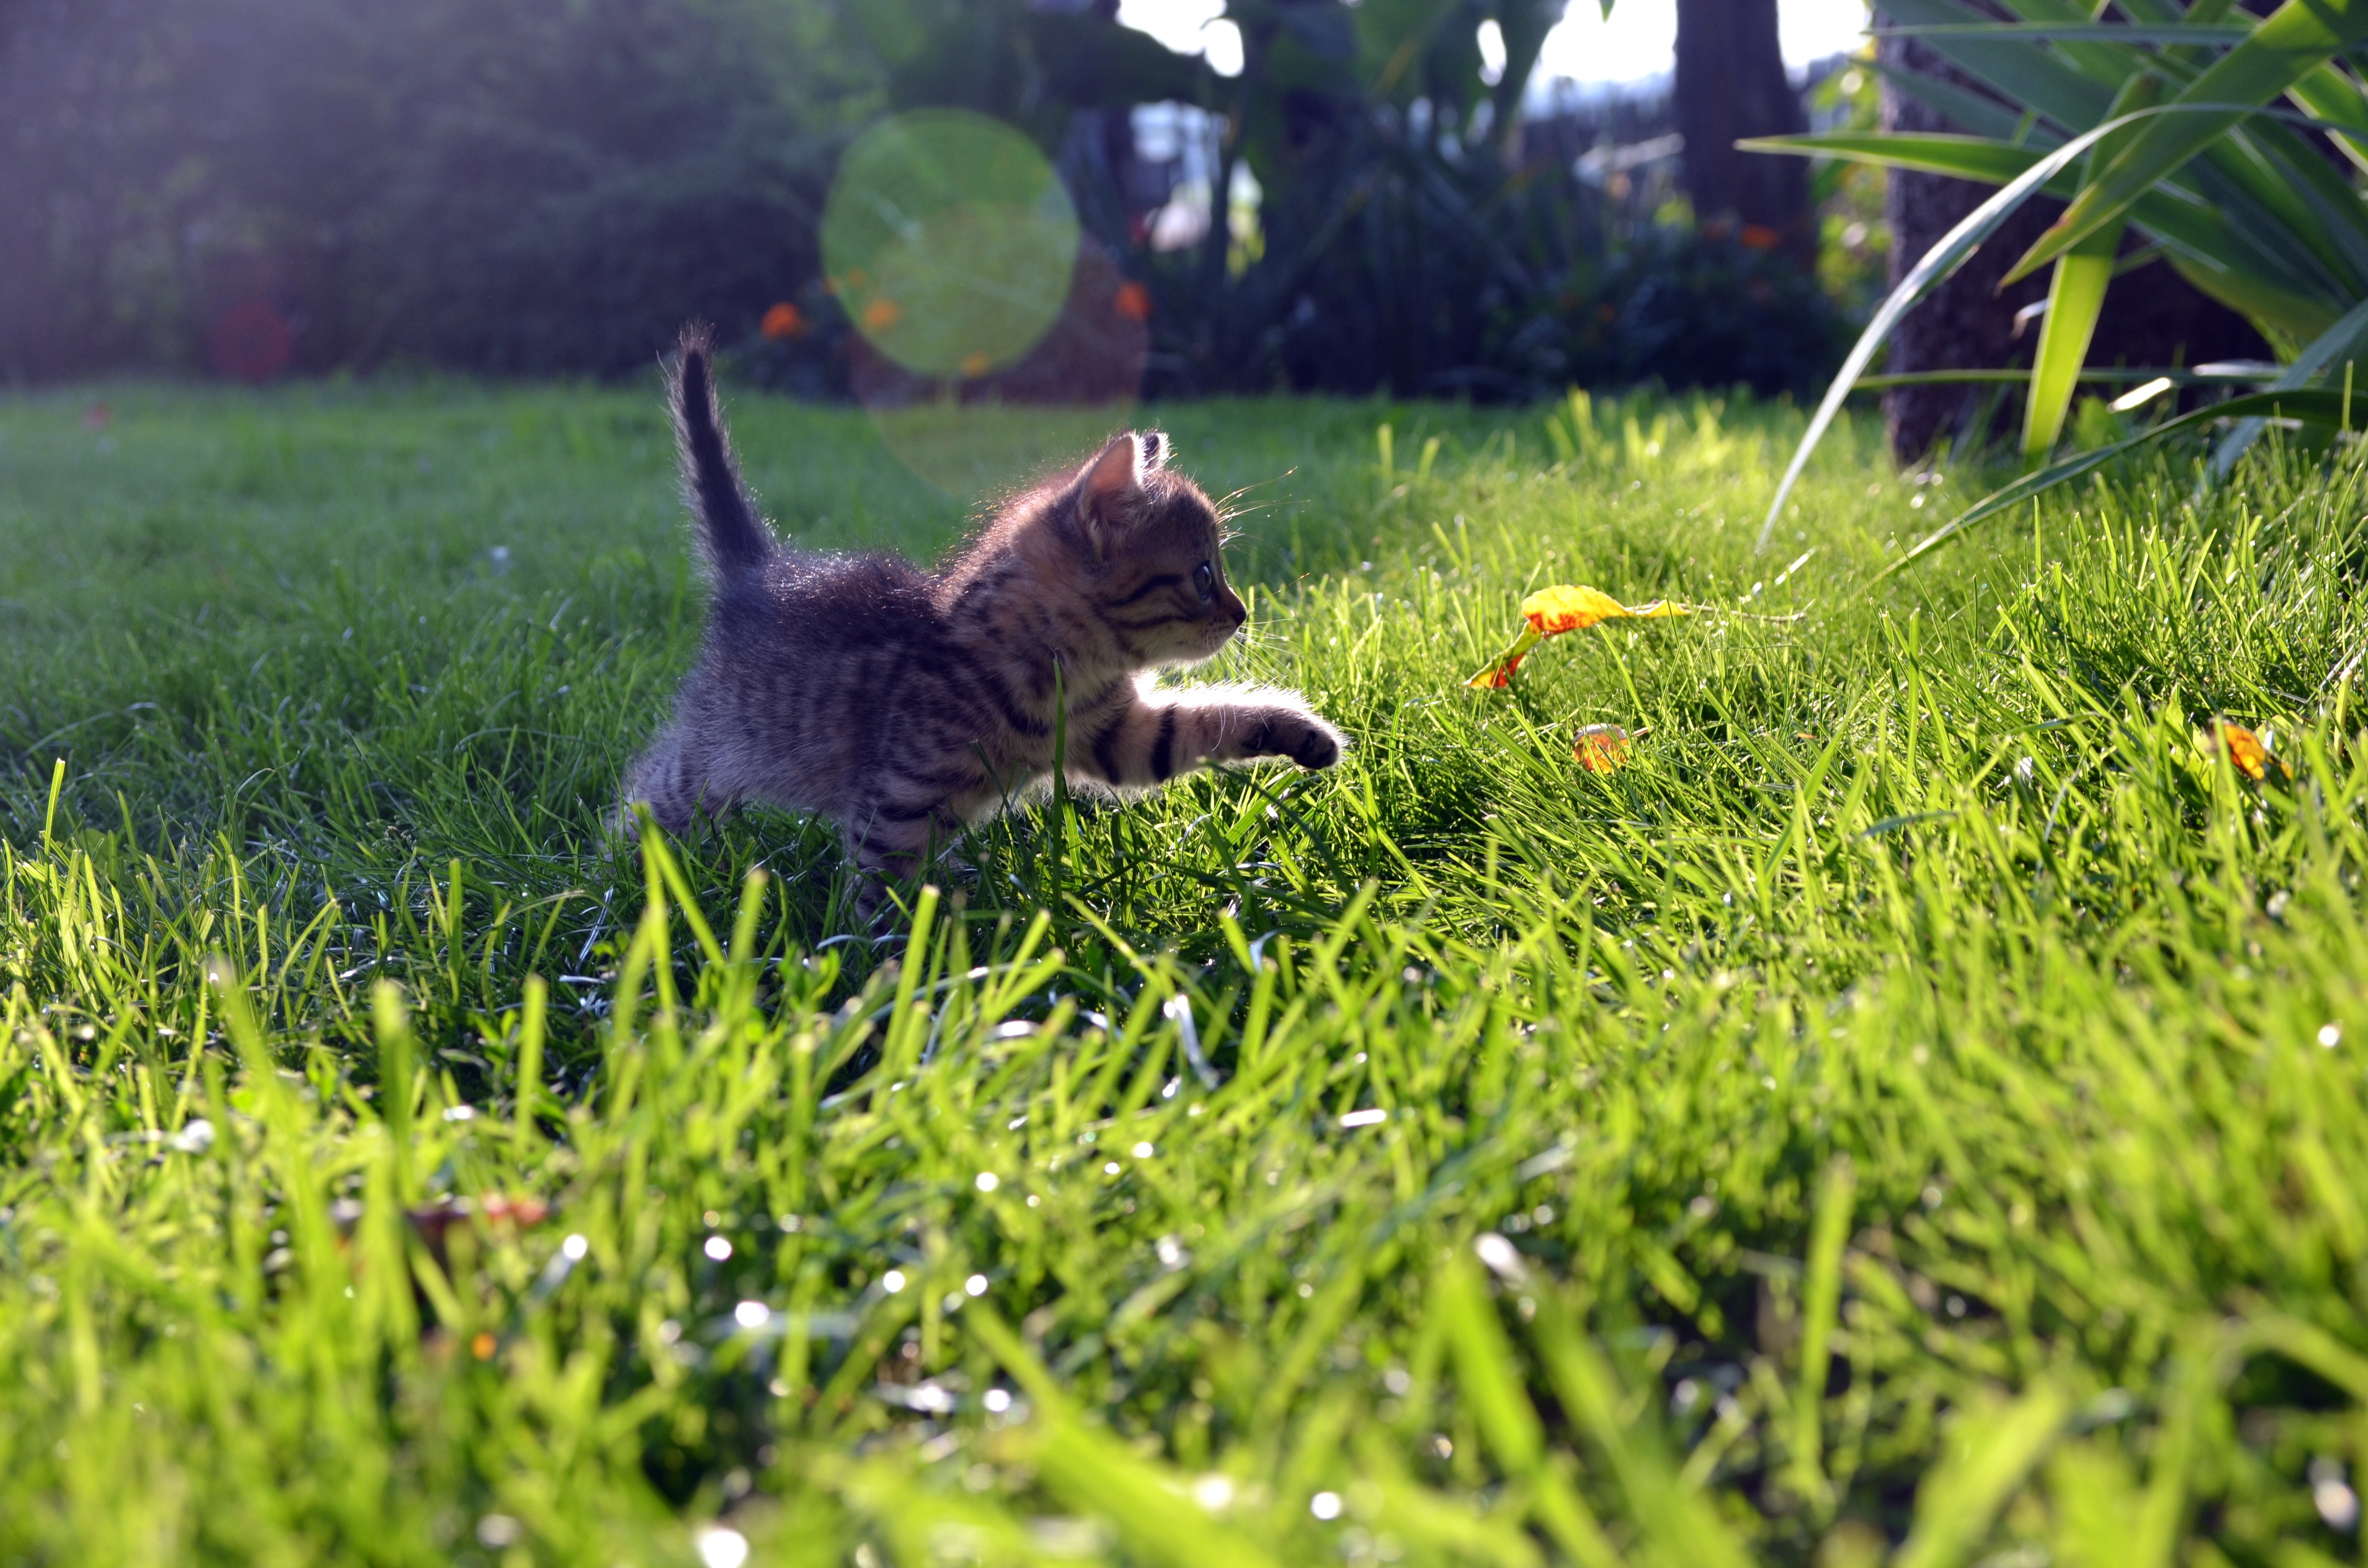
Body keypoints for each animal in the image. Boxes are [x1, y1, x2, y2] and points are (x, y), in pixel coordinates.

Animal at [620, 329, 1345, 909]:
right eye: (1202, 576)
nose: (1242, 613)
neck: (1058, 671)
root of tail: (761, 570)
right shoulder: (901, 804)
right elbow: (880, 890)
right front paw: (888, 968)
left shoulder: (1119, 738)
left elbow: (1207, 721)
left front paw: (1306, 735)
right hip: (715, 756)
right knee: (651, 790)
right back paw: (621, 873)